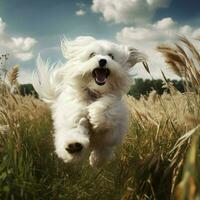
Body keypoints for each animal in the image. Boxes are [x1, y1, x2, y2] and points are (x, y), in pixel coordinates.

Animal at [32, 36, 147, 167]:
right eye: (92, 55)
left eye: (111, 56)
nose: (102, 61)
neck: (94, 94)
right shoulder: (72, 116)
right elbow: (74, 129)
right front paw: (73, 146)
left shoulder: (114, 128)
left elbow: (108, 109)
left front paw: (96, 115)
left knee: (103, 150)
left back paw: (96, 160)